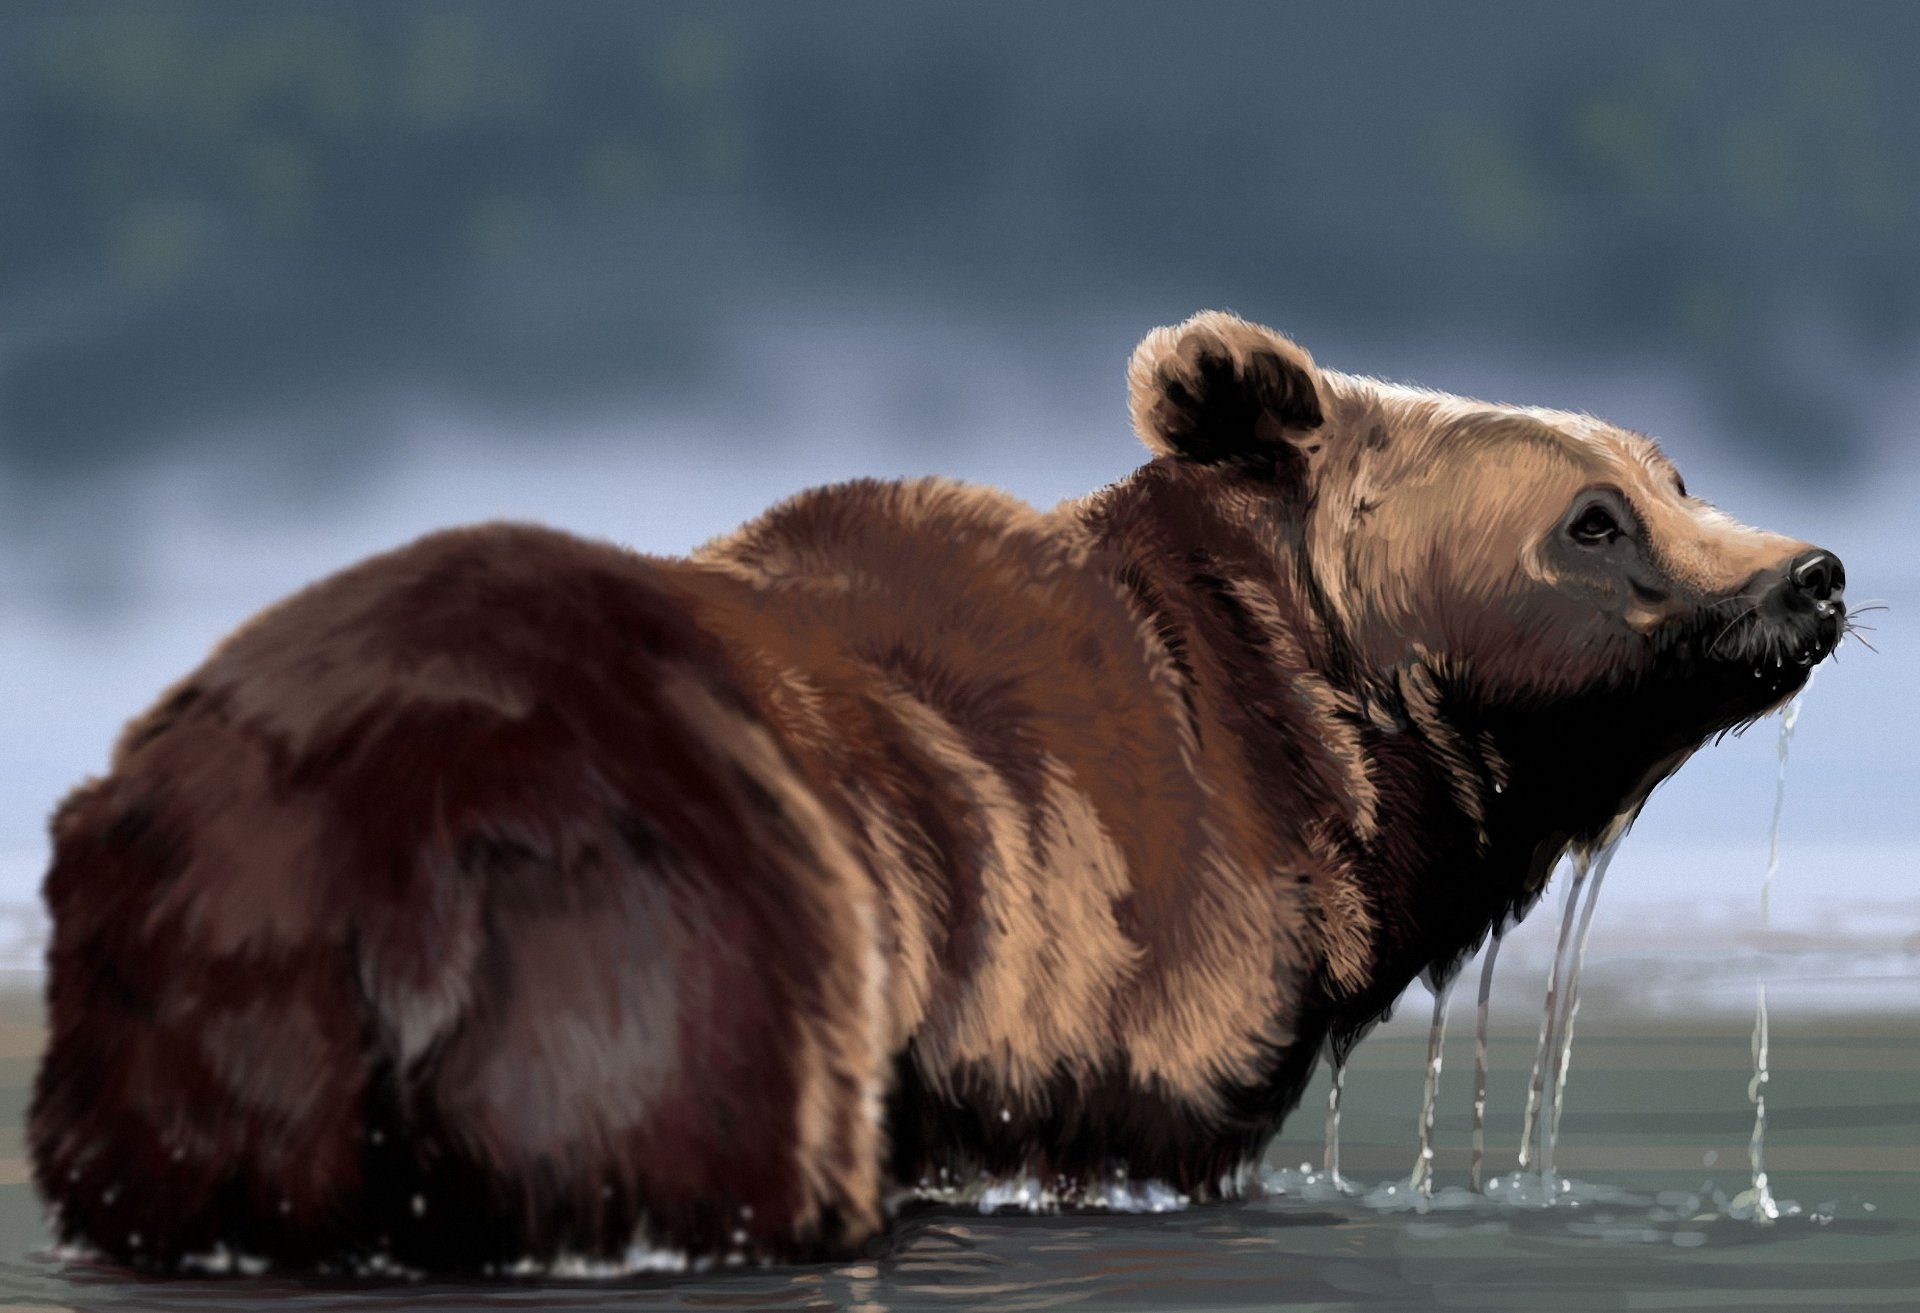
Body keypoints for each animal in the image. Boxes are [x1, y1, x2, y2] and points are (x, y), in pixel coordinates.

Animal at [28, 311, 1847, 1273]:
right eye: (1593, 518)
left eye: (1673, 470)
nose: (1812, 572)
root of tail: (386, 852)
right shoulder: (1095, 996)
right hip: (678, 949)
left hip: (197, 1010)